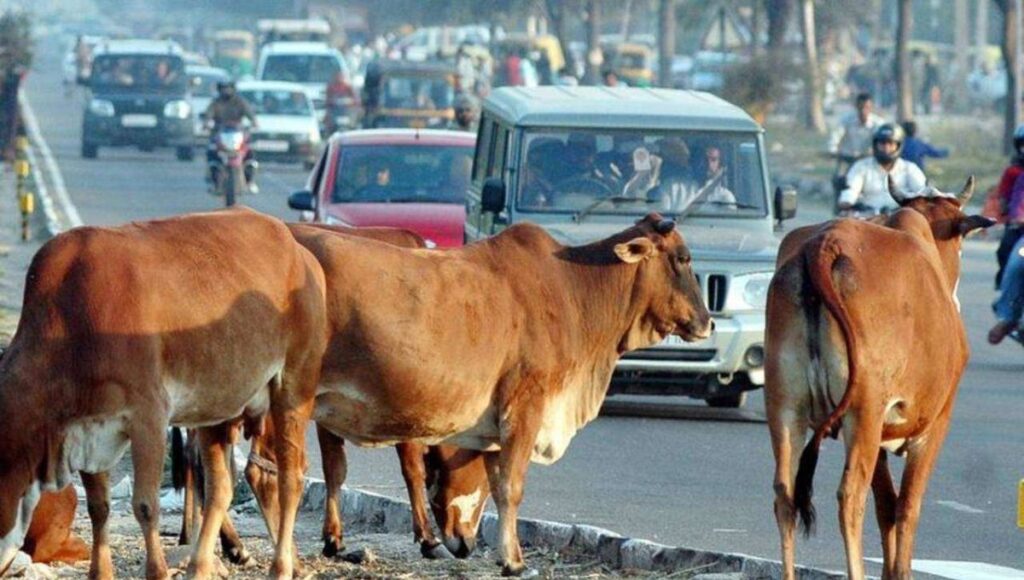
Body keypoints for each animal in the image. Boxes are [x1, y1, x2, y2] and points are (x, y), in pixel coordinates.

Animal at [251, 214, 712, 577]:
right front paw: (513, 560)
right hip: (284, 400)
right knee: (272, 472)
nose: (707, 322)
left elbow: (494, 481)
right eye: (683, 258)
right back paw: (288, 560)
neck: (573, 290)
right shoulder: (525, 408)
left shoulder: (494, 425)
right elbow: (511, 486)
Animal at [770, 179, 991, 580]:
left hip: (785, 408)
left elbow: (886, 505)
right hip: (863, 410)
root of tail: (823, 244)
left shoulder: (880, 436)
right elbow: (907, 506)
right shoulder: (934, 425)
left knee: (785, 493)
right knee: (849, 496)